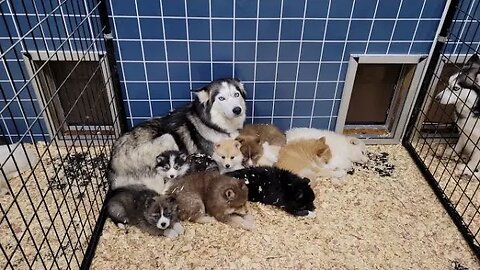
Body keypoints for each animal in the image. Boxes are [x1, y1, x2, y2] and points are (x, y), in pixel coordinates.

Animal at [109, 78, 248, 191]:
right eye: (221, 98)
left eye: (236, 94)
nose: (237, 110)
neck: (215, 125)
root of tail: (113, 169)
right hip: (168, 138)